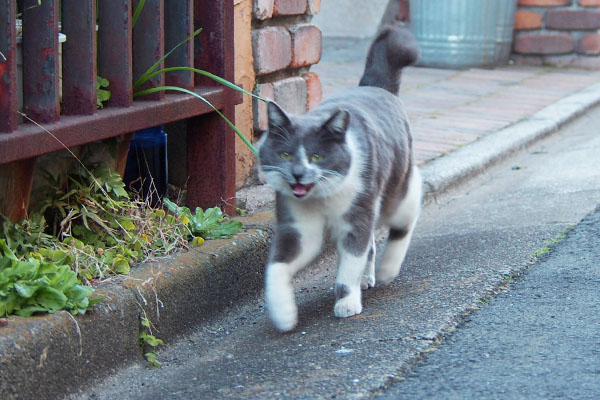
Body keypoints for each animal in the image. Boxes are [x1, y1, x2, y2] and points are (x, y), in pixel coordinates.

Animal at [258, 24, 422, 332]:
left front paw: (346, 303)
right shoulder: (298, 226)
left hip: (396, 189)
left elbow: (349, 266)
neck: (321, 200)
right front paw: (283, 314)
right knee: (372, 244)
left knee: (404, 218)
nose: (298, 173)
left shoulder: (356, 217)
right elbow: (277, 266)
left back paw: (386, 271)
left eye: (317, 156)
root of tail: (376, 87)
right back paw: (368, 277)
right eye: (285, 154)